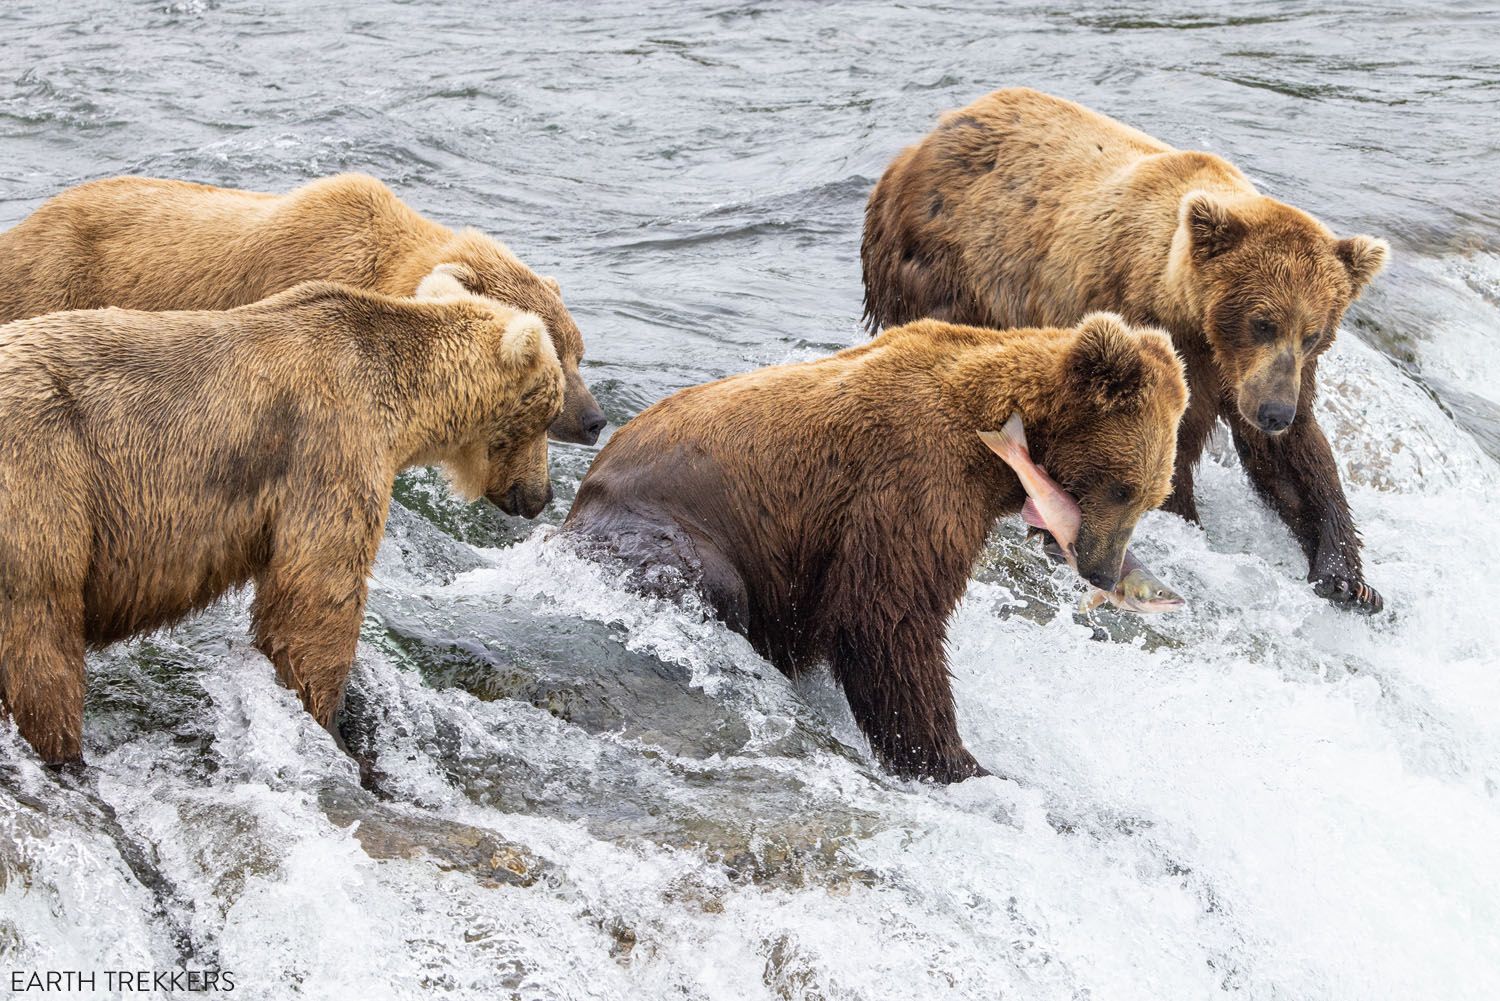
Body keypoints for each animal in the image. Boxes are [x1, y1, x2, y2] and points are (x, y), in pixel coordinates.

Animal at [0, 270, 564, 762]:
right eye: (550, 415)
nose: (542, 495)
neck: (404, 403)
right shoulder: (330, 444)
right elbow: (317, 592)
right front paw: (330, 721)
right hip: (46, 478)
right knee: (41, 629)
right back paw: (62, 749)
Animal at [567, 313, 1188, 780]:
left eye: (1152, 497)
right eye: (1123, 487)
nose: (1103, 571)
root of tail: (585, 488)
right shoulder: (911, 481)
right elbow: (887, 618)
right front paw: (956, 760)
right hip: (666, 526)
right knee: (706, 581)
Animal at [870, 90, 1392, 615]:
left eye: (1312, 333)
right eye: (1262, 322)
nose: (1274, 413)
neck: (1195, 320)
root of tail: (929, 137)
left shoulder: (1259, 375)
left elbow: (1291, 462)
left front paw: (1348, 579)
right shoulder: (1163, 351)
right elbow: (1164, 457)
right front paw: (1186, 525)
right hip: (946, 267)